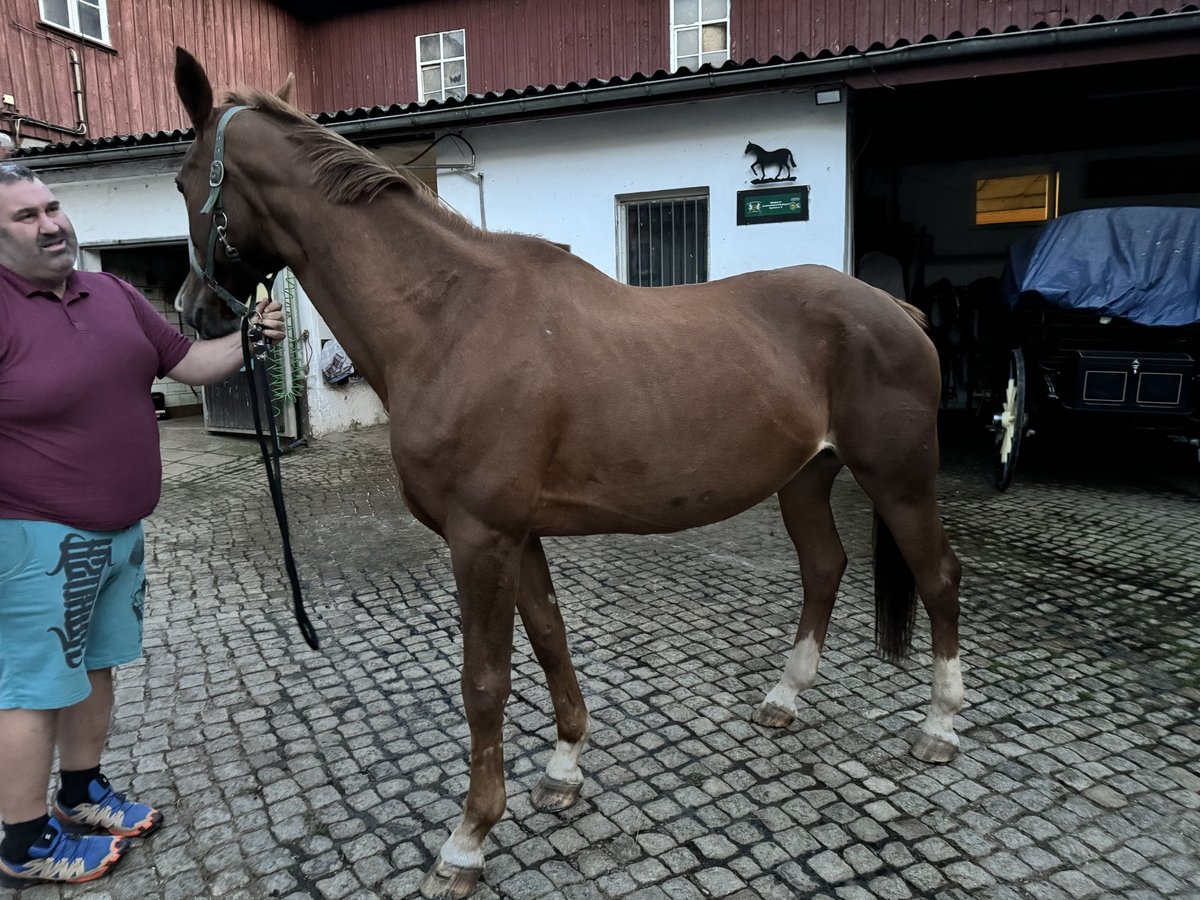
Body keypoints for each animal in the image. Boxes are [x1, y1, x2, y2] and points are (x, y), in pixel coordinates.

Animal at [171, 49, 964, 900]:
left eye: (183, 181)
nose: (192, 315)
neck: (449, 319)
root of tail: (895, 310)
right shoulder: (518, 534)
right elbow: (550, 638)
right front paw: (563, 767)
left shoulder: (479, 537)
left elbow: (484, 681)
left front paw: (467, 840)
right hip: (805, 478)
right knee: (825, 567)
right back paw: (783, 698)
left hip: (899, 478)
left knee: (937, 577)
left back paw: (940, 726)